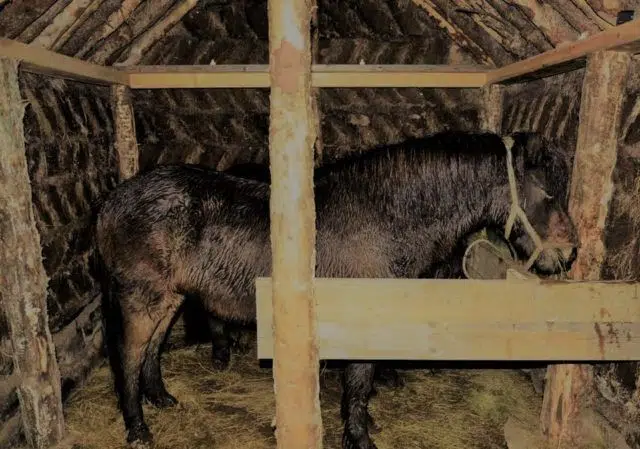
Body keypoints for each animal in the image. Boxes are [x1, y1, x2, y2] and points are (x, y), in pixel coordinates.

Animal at [96, 130, 580, 448]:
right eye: (548, 193)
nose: (569, 252)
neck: (384, 216)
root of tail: (113, 201)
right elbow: (360, 380)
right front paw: (359, 436)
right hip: (143, 296)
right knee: (129, 355)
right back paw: (138, 429)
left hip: (169, 297)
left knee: (153, 350)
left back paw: (161, 399)